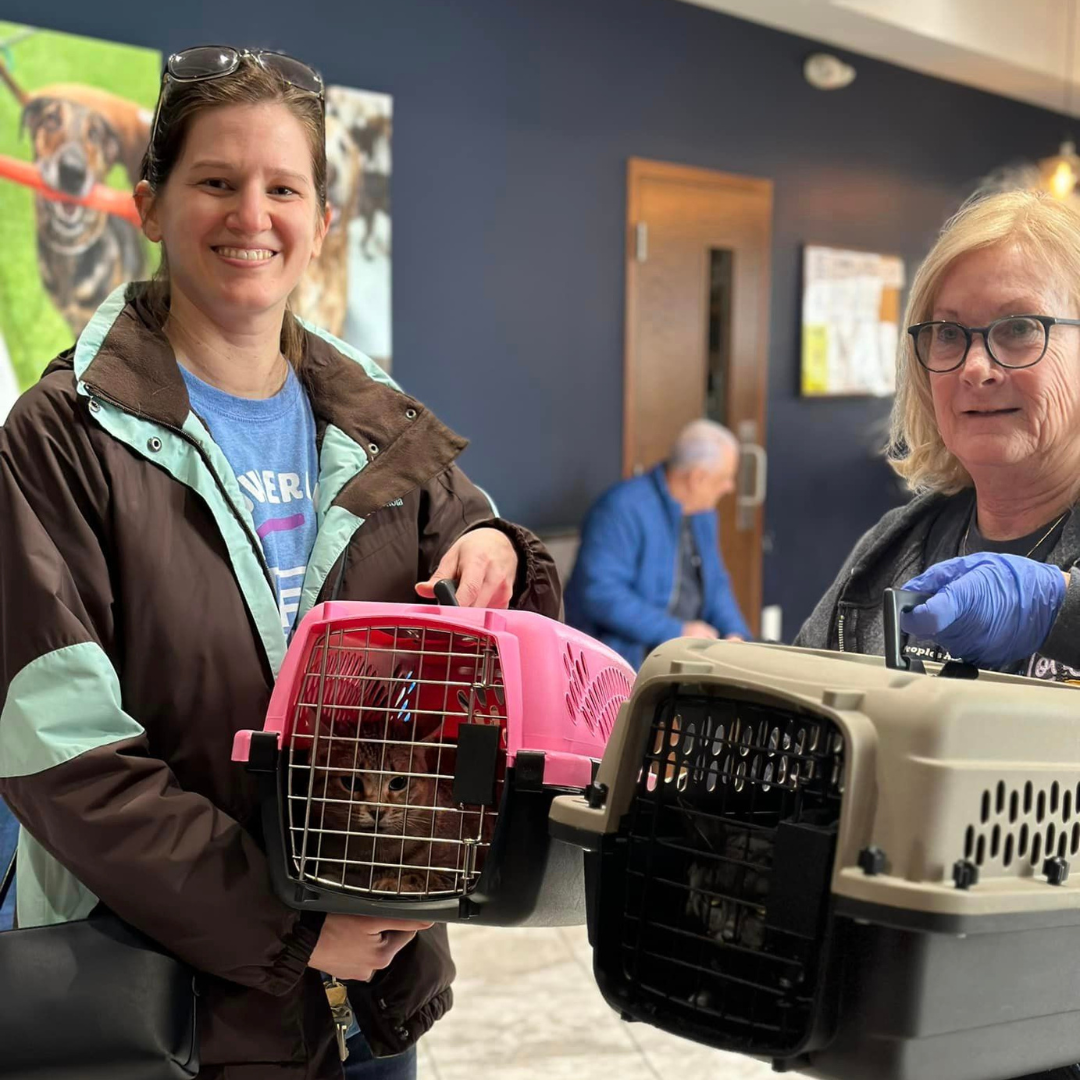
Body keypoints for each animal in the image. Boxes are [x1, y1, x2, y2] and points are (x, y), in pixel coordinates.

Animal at [227, 587, 630, 924]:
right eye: (350, 782)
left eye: (398, 782)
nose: (377, 810)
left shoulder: (455, 861)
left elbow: (425, 875)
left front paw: (396, 880)